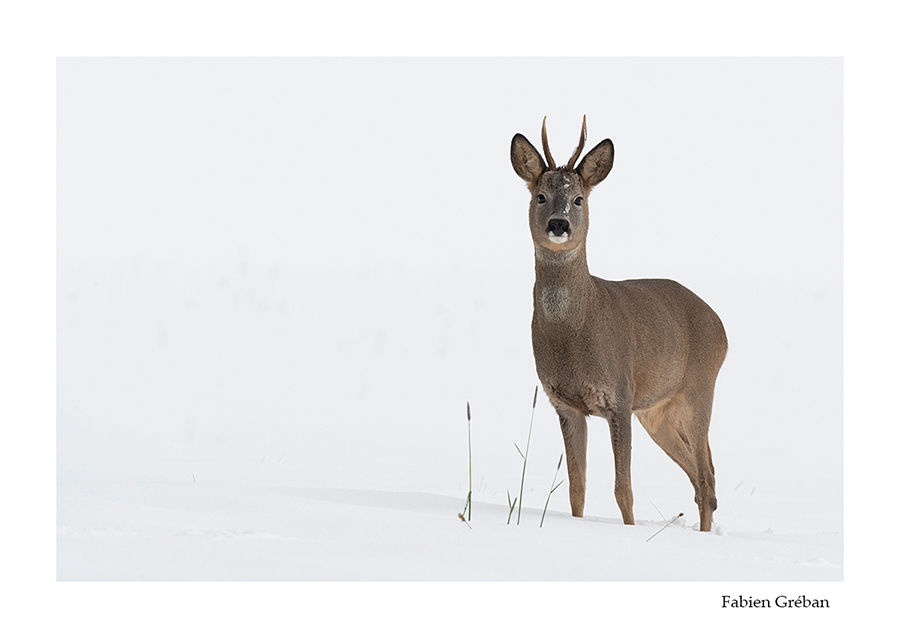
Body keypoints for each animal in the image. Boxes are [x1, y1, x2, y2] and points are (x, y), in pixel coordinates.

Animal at [510, 117, 728, 532]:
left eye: (579, 199)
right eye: (540, 196)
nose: (559, 224)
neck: (573, 333)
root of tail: (721, 327)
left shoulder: (620, 395)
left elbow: (622, 490)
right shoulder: (565, 404)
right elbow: (575, 488)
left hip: (698, 390)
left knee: (706, 477)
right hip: (657, 412)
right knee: (701, 475)